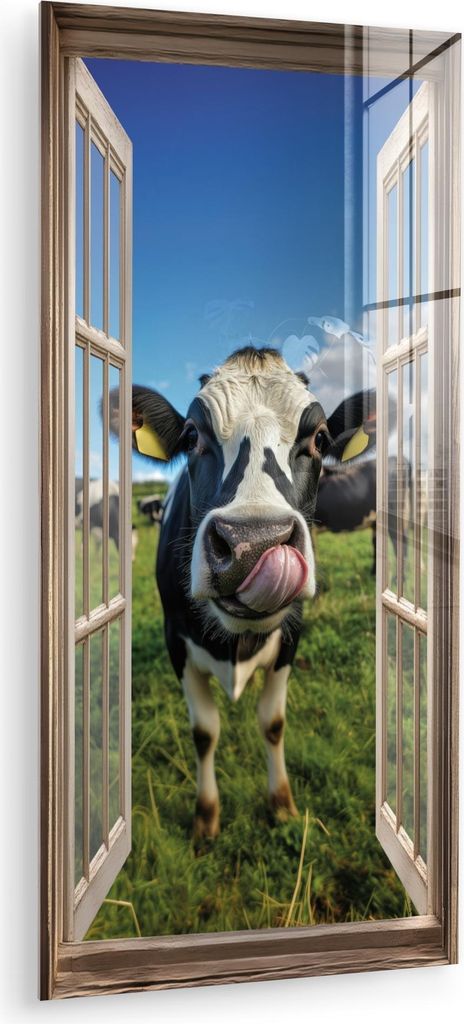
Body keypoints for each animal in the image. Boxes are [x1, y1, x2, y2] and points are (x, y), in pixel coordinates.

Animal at [123, 347, 371, 839]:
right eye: (192, 435)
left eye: (320, 438)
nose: (252, 544)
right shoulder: (174, 639)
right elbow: (204, 732)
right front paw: (206, 817)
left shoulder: (292, 636)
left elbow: (272, 723)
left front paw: (282, 803)